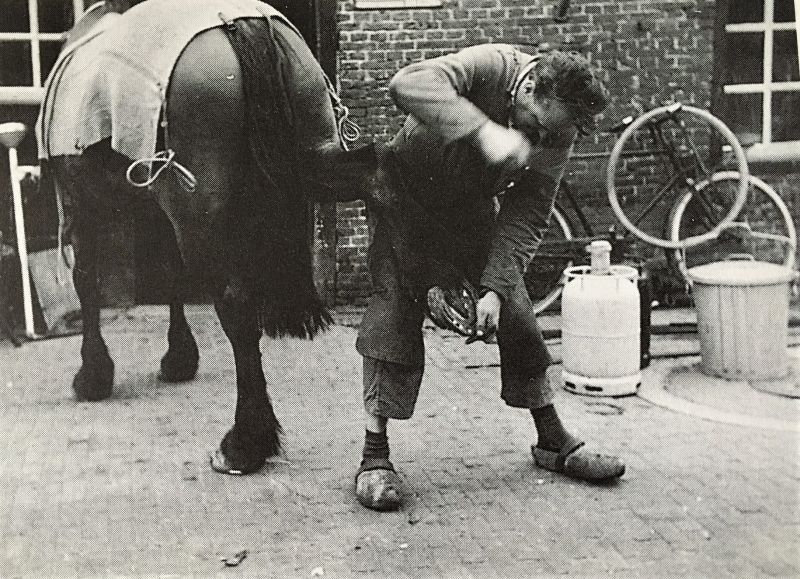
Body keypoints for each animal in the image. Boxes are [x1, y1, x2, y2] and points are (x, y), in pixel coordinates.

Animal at [38, 0, 384, 475]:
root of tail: (235, 24)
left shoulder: (81, 206)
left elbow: (86, 282)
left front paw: (93, 376)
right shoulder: (157, 213)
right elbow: (170, 276)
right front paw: (179, 358)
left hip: (200, 218)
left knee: (236, 307)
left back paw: (244, 443)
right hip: (318, 160)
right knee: (373, 177)